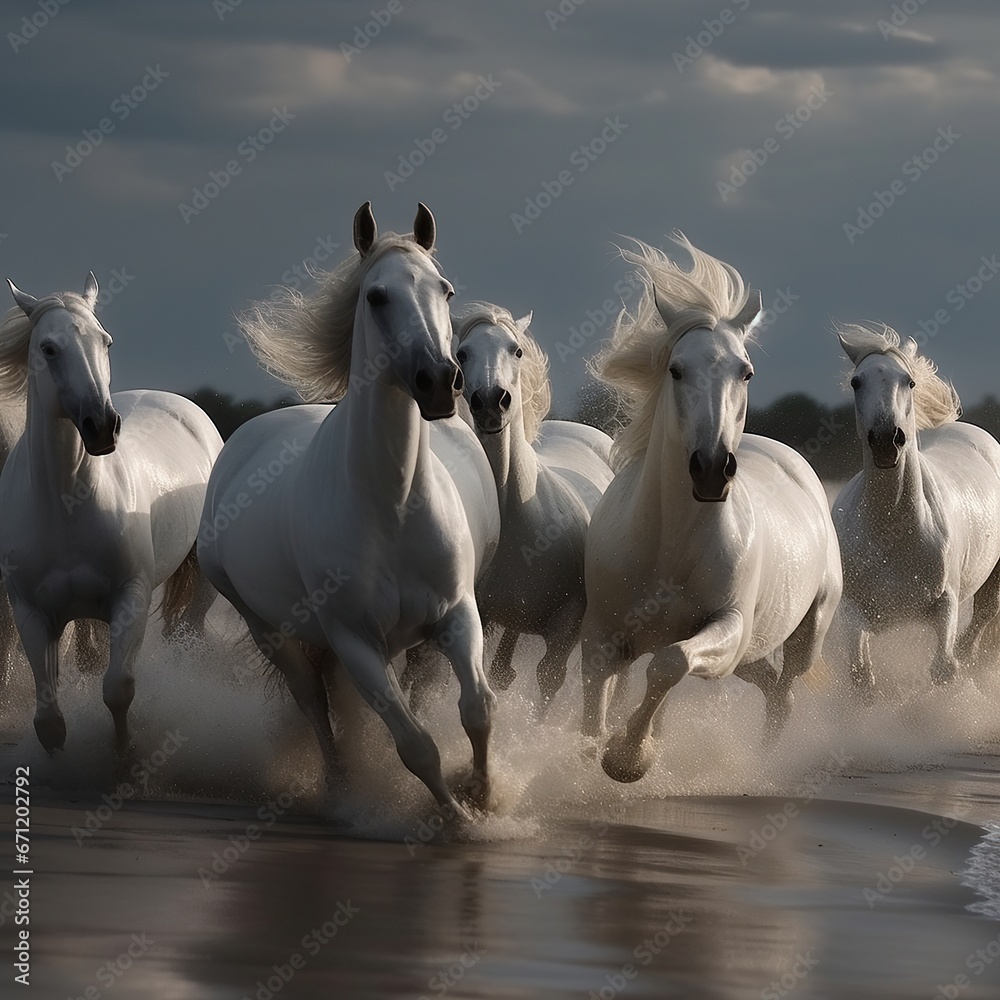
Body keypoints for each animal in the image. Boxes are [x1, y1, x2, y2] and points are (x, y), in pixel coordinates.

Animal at [0, 273, 223, 753]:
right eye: (48, 348)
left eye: (105, 341)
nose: (102, 426)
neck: (65, 506)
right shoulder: (32, 614)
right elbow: (49, 719)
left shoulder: (130, 597)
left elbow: (117, 689)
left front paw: (124, 753)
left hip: (201, 583)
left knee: (188, 633)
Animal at [197, 203, 500, 817]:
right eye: (377, 296)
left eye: (446, 290)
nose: (440, 381)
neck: (394, 504)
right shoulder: (356, 644)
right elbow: (414, 745)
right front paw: (455, 817)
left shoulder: (457, 614)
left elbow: (477, 709)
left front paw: (482, 795)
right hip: (272, 632)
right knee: (314, 703)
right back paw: (337, 786)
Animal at [451, 302, 614, 708]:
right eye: (463, 353)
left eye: (517, 350)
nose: (491, 401)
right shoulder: (480, 615)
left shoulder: (566, 628)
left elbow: (548, 679)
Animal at [579, 234, 842, 783]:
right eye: (676, 369)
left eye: (746, 372)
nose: (712, 468)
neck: (670, 542)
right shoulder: (602, 631)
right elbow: (596, 701)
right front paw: (591, 752)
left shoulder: (727, 627)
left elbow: (669, 665)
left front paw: (630, 757)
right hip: (753, 652)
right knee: (769, 683)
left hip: (802, 635)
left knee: (784, 694)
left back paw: (764, 764)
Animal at [832, 323, 1000, 692]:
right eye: (856, 382)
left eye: (908, 381)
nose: (886, 441)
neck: (893, 530)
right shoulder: (853, 611)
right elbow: (861, 676)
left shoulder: (945, 605)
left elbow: (944, 668)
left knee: (975, 632)